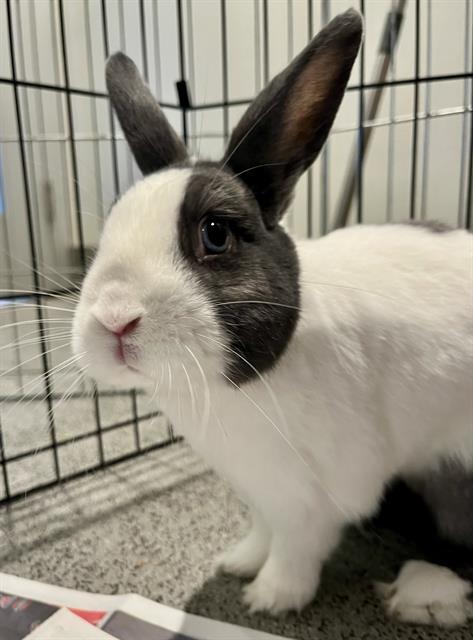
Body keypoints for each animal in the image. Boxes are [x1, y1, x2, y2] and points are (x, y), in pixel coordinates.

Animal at [72, 9, 473, 625]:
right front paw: (237, 562)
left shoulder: (322, 490)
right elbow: (264, 531)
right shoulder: (260, 488)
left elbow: (297, 544)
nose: (115, 319)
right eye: (107, 229)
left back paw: (424, 595)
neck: (226, 394)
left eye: (215, 234)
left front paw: (270, 598)